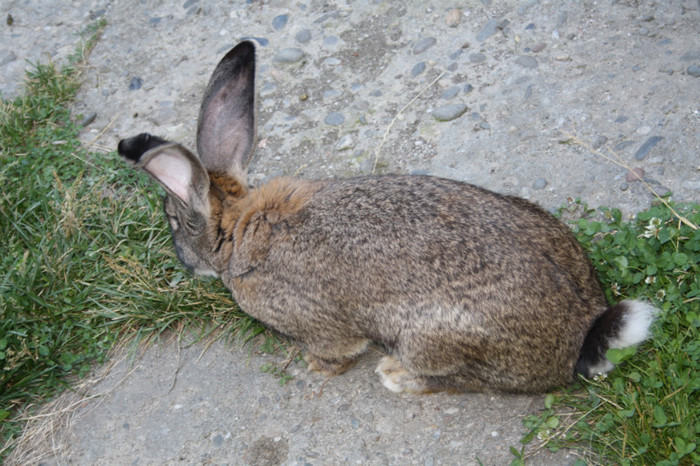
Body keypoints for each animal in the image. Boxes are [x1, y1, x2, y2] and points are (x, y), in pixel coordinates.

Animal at [117, 41, 652, 396]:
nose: (182, 261)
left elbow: (338, 350)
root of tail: (582, 336)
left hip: (432, 339)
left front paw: (315, 368)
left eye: (172, 222)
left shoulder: (317, 323)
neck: (240, 228)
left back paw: (395, 376)